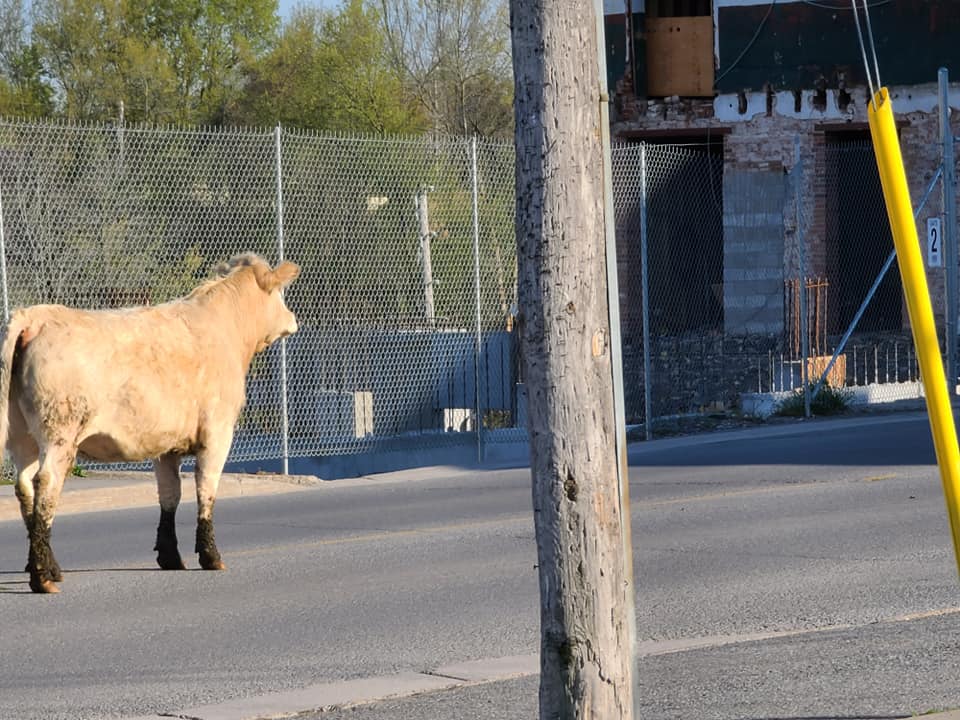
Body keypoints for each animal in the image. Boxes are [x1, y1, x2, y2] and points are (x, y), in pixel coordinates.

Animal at [0, 253, 300, 593]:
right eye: (280, 294)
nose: (292, 318)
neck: (225, 328)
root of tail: (36, 316)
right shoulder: (218, 431)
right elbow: (206, 489)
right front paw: (210, 556)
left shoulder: (165, 444)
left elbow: (170, 495)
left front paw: (170, 556)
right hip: (59, 432)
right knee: (46, 484)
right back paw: (43, 577)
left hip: (21, 435)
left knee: (25, 486)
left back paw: (49, 566)